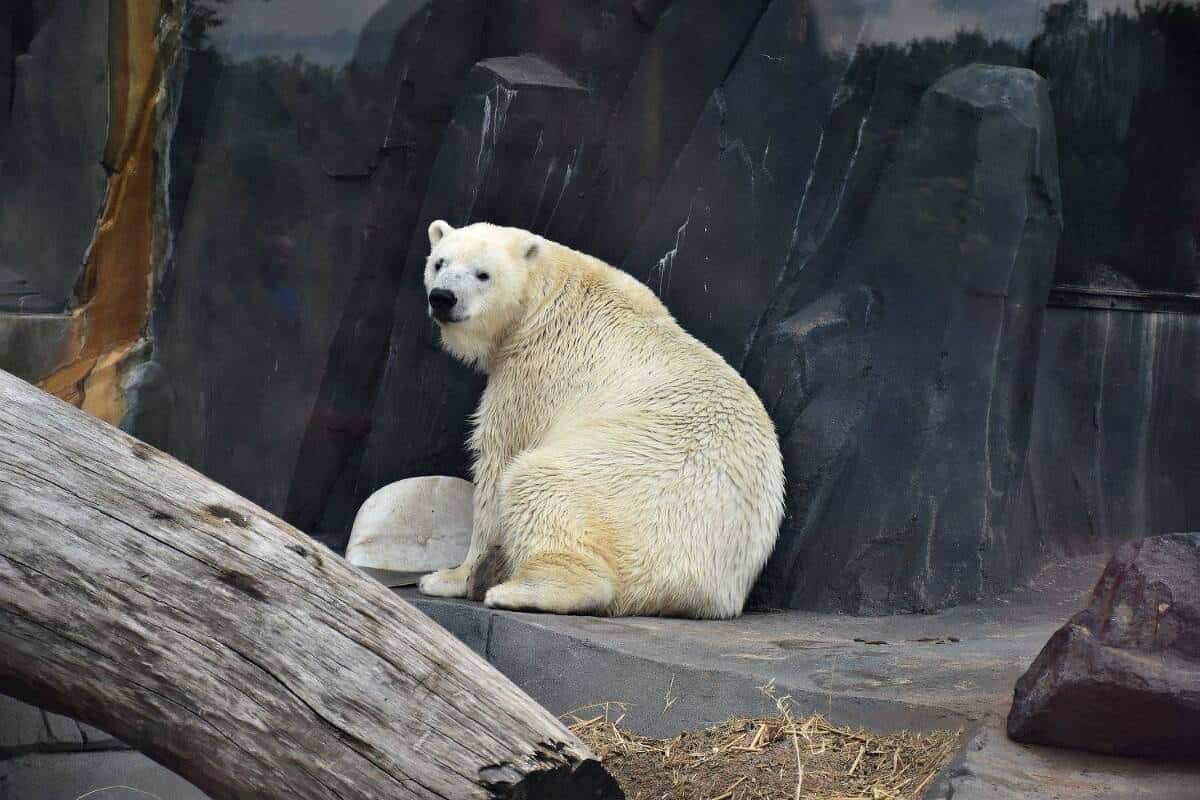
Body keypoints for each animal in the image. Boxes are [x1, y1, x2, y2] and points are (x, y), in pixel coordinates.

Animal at [415, 220, 787, 618]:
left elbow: (497, 461)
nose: (442, 298)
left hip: (622, 481)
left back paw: (518, 590)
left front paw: (446, 577)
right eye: (439, 263)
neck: (547, 299)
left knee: (538, 481)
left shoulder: (536, 374)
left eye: (483, 274)